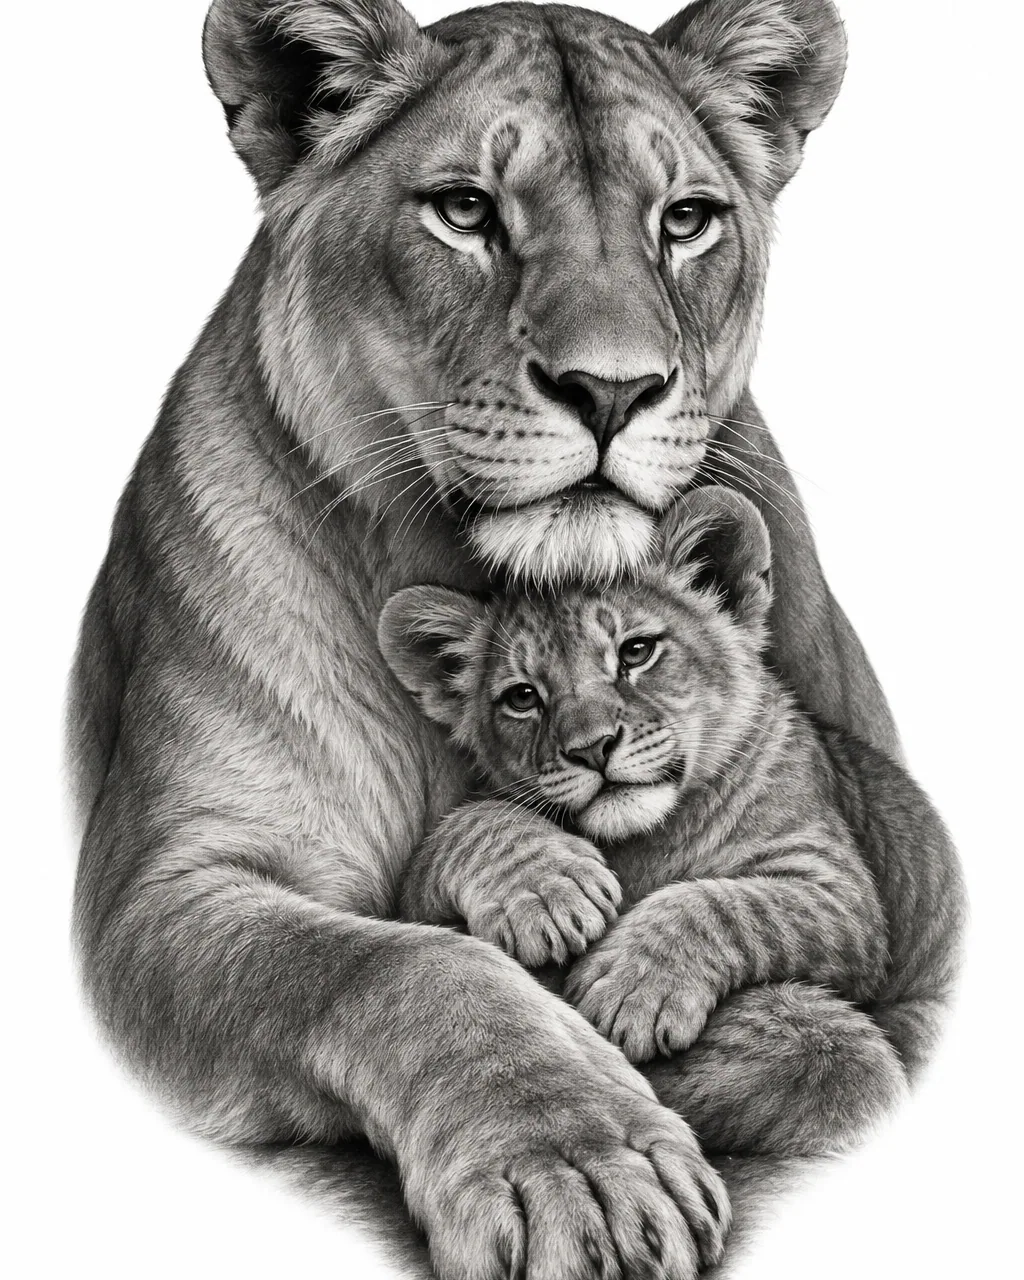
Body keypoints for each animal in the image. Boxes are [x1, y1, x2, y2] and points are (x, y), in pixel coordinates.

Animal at [68, 2, 964, 1277]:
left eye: (684, 219)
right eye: (465, 209)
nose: (612, 390)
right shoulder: (164, 889)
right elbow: (397, 959)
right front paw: (582, 1166)